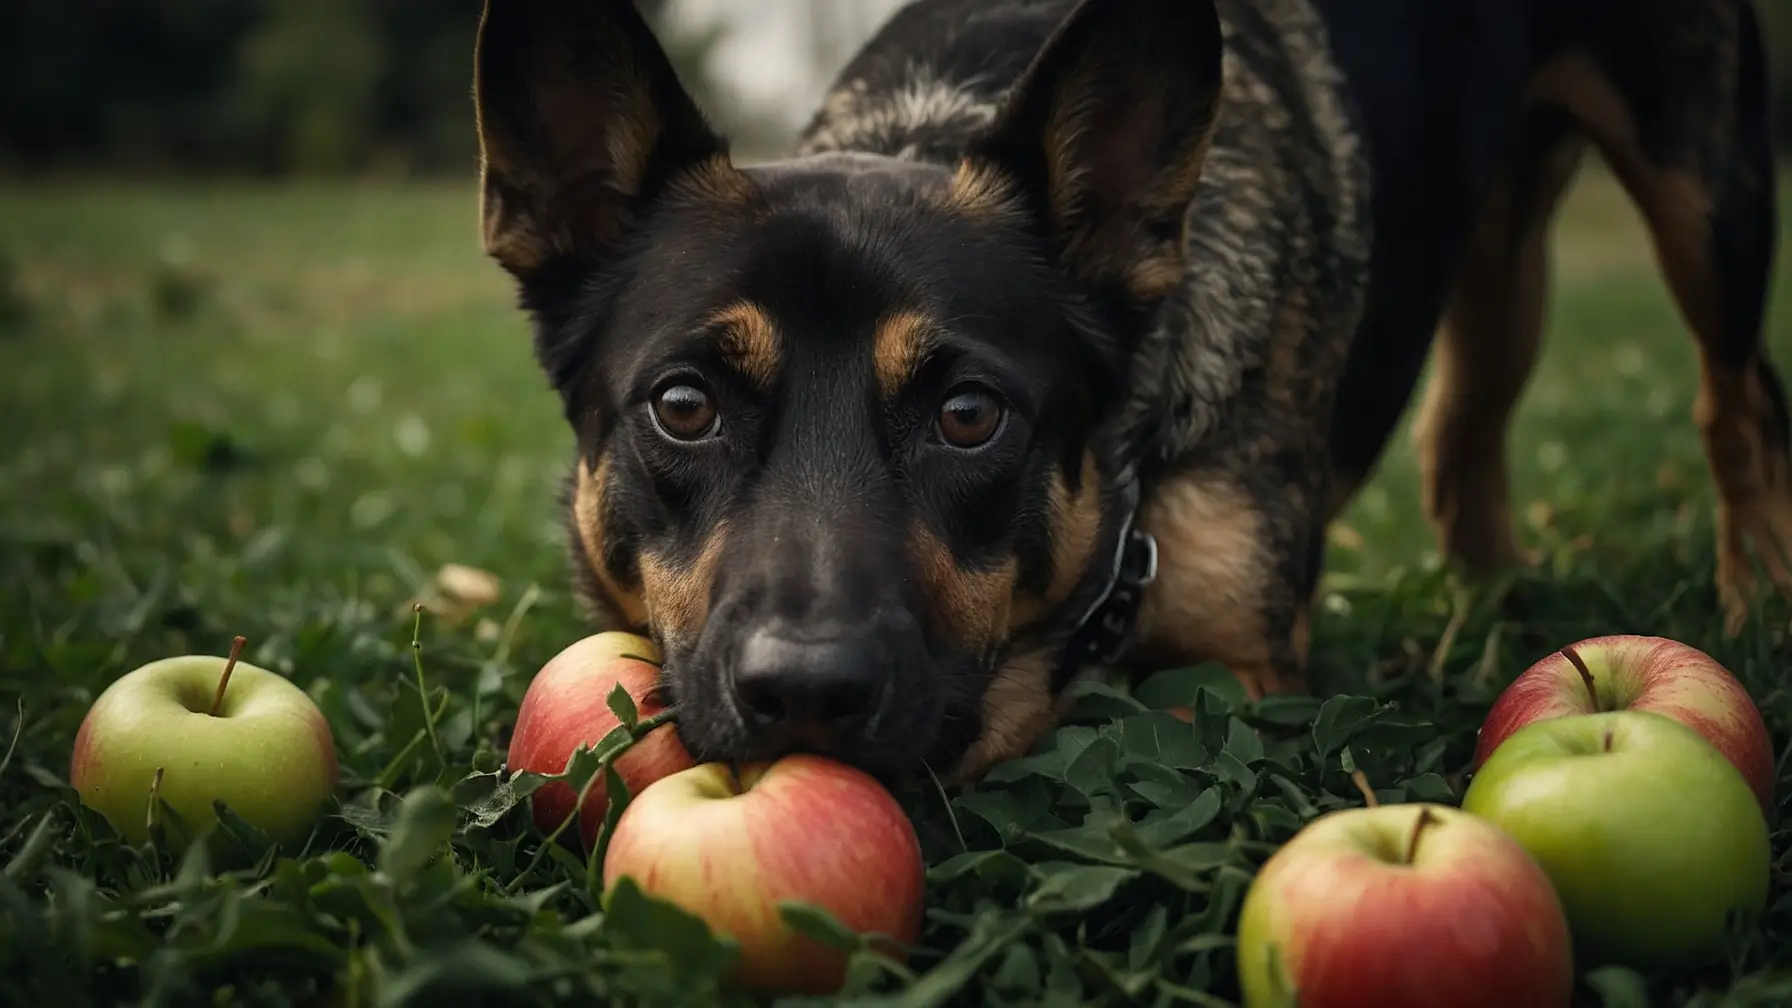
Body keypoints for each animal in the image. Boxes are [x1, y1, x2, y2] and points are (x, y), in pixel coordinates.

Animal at [469, 0, 1784, 782]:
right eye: (683, 408)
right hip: (1497, 262)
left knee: (1738, 397)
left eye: (969, 416)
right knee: (1462, 438)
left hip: (1700, 191)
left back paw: (1753, 597)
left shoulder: (1239, 680)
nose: (804, 694)